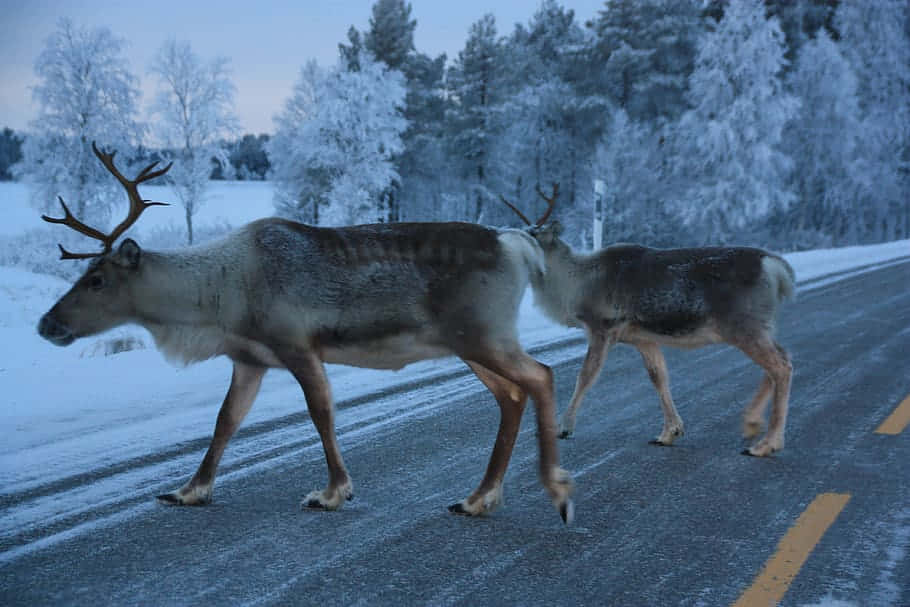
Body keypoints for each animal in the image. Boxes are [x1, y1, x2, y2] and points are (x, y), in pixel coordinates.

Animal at [37, 142, 574, 523]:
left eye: (97, 279)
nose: (47, 323)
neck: (218, 299)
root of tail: (515, 243)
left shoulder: (296, 345)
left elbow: (320, 413)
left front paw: (333, 492)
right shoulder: (249, 358)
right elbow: (225, 421)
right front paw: (189, 490)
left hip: (482, 335)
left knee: (540, 375)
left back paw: (555, 490)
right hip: (470, 343)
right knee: (511, 396)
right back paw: (478, 499)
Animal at [500, 184, 795, 457]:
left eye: (533, 236)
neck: (575, 285)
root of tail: (777, 268)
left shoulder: (602, 327)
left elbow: (586, 375)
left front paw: (563, 427)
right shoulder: (642, 338)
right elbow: (659, 377)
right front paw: (669, 432)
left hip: (743, 325)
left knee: (781, 366)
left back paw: (767, 444)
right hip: (759, 326)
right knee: (779, 361)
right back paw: (752, 424)